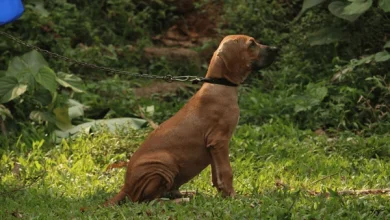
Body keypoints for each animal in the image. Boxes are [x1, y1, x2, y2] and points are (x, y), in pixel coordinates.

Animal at [106, 34, 278, 205]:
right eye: (251, 44)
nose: (276, 49)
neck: (219, 84)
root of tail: (126, 187)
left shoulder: (213, 146)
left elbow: (216, 175)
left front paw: (223, 195)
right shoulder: (219, 141)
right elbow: (226, 171)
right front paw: (235, 198)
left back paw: (187, 193)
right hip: (163, 164)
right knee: (148, 201)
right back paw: (180, 200)